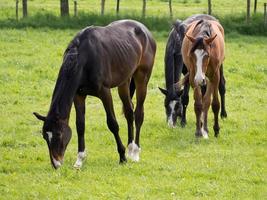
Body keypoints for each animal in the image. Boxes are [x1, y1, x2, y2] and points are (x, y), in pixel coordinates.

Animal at [33, 19, 157, 168]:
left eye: (58, 134)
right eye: (45, 136)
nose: (56, 164)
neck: (83, 58)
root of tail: (145, 30)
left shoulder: (104, 92)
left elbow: (112, 124)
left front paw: (122, 157)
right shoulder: (78, 95)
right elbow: (80, 125)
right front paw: (79, 160)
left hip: (142, 78)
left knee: (138, 113)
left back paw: (135, 152)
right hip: (124, 82)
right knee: (129, 112)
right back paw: (130, 148)